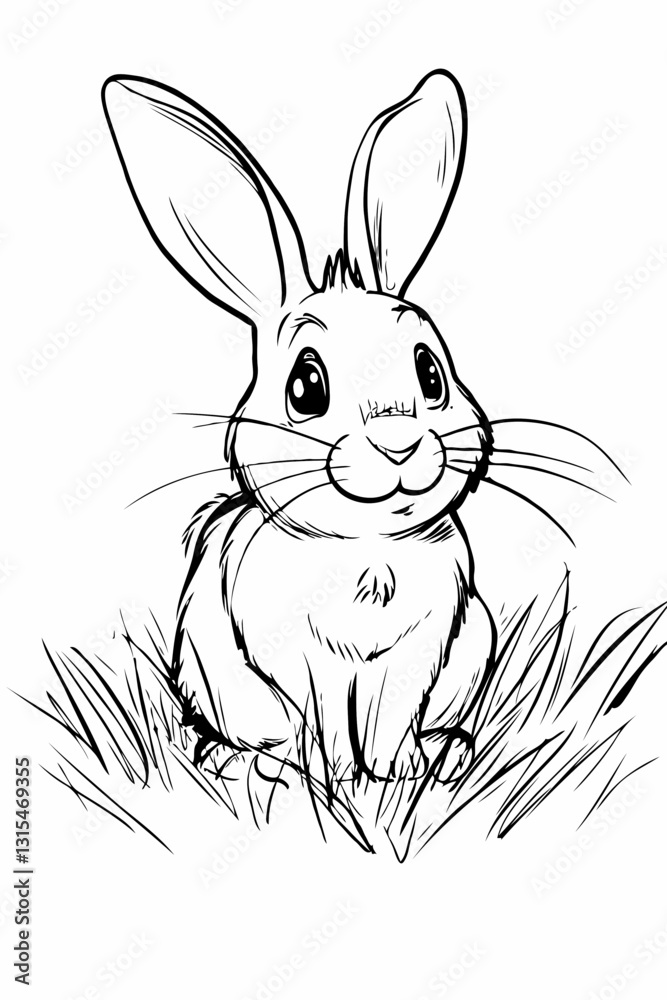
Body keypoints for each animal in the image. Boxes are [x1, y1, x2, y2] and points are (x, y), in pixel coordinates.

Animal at [102, 69, 499, 793]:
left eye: (430, 374)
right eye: (305, 387)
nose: (398, 443)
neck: (369, 549)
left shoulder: (416, 656)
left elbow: (390, 721)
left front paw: (396, 774)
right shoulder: (301, 663)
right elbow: (320, 724)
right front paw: (334, 782)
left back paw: (448, 753)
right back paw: (246, 765)